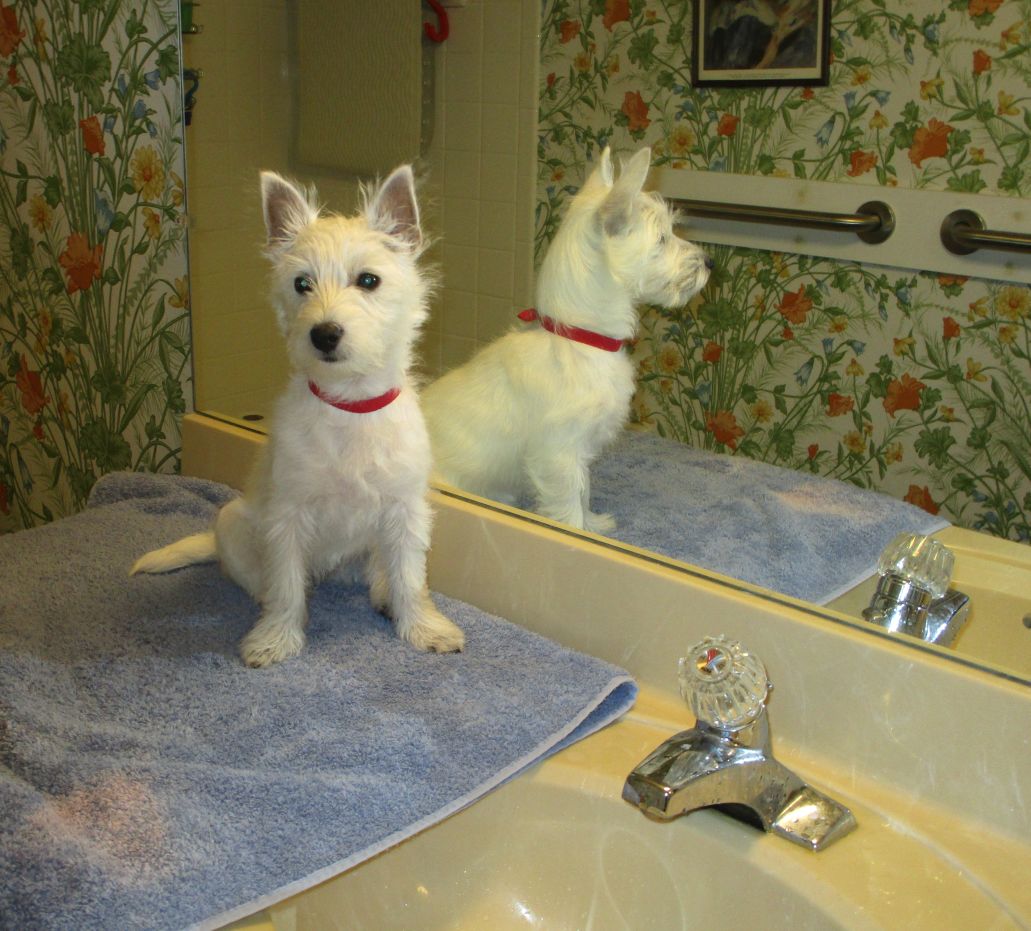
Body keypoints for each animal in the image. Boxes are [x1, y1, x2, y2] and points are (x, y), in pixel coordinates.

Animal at [132, 163, 463, 668]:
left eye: (369, 280)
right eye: (301, 283)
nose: (324, 333)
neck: (350, 404)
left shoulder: (405, 510)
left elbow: (410, 577)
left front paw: (426, 629)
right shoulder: (287, 516)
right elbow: (286, 585)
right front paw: (274, 640)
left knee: (380, 569)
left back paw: (382, 595)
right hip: (232, 522)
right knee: (264, 581)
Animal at [422, 150, 713, 536]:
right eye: (662, 239)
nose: (710, 262)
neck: (580, 339)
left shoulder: (580, 449)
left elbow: (583, 490)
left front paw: (594, 524)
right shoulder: (558, 453)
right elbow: (568, 502)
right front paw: (576, 532)